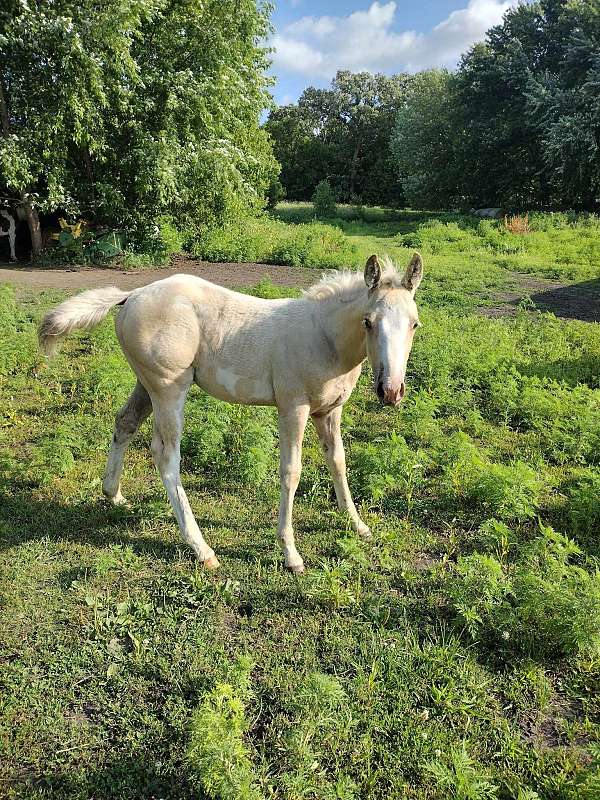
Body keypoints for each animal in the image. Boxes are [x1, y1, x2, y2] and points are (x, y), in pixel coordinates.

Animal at [38, 253, 422, 572]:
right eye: (368, 322)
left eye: (414, 323)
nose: (390, 391)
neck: (323, 338)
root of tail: (132, 294)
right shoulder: (293, 408)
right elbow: (291, 472)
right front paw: (291, 554)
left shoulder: (329, 411)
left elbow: (338, 461)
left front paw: (357, 525)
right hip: (168, 389)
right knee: (166, 455)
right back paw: (202, 549)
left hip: (145, 385)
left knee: (125, 423)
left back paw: (114, 494)